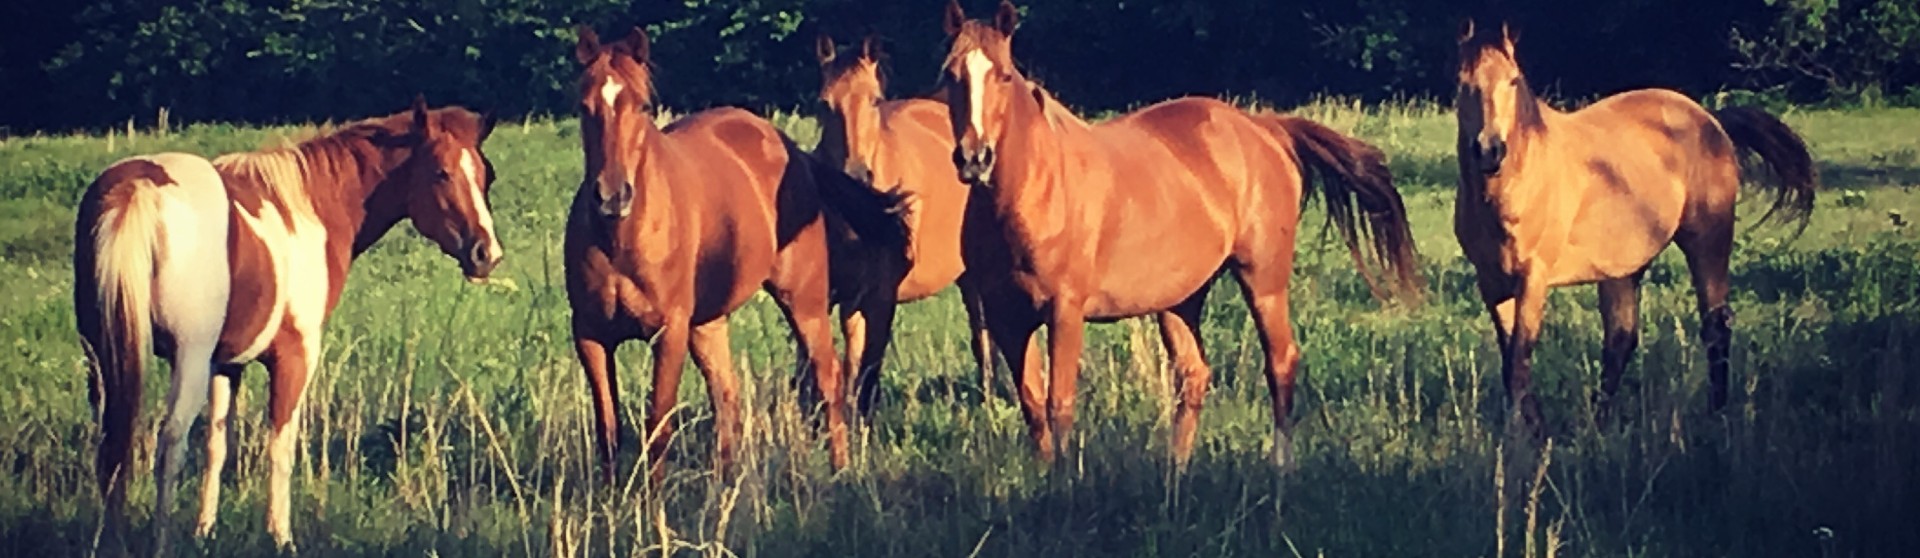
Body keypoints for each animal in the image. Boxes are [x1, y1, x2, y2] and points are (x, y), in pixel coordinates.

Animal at [78, 97, 506, 556]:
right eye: (441, 172)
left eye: (485, 174)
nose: (486, 254)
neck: (309, 207)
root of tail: (139, 188)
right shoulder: (294, 356)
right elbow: (280, 446)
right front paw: (281, 537)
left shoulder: (225, 365)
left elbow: (216, 445)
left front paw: (204, 531)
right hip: (187, 359)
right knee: (170, 441)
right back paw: (161, 542)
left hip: (105, 357)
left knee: (112, 445)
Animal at [564, 24, 910, 483]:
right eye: (584, 107)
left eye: (642, 105)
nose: (612, 195)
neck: (621, 240)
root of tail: (791, 150)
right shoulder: (591, 336)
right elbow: (608, 429)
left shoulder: (669, 332)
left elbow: (657, 426)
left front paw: (653, 500)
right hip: (707, 323)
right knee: (726, 395)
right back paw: (725, 483)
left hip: (804, 301)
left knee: (829, 378)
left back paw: (840, 470)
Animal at [810, 31, 1021, 416]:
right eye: (824, 104)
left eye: (875, 100)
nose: (856, 175)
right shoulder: (841, 296)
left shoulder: (882, 296)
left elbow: (869, 368)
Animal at [936, 2, 1420, 469]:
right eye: (950, 73)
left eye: (1002, 74)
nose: (974, 158)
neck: (1035, 192)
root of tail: (1264, 128)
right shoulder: (1006, 317)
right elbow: (1033, 406)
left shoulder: (1064, 311)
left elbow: (1060, 405)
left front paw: (1067, 482)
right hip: (1179, 299)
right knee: (1194, 375)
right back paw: (1176, 472)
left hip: (1263, 279)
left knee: (1281, 362)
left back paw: (1279, 470)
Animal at [1451, 20, 1812, 433]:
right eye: (1463, 83)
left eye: (1513, 81)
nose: (1489, 149)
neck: (1518, 186)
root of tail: (1710, 119)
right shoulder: (1492, 283)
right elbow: (1511, 365)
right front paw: (1532, 431)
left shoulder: (1533, 279)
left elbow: (1519, 364)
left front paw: (1527, 440)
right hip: (1623, 268)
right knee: (1620, 340)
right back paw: (1599, 425)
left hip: (1708, 240)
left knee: (1715, 326)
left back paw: (1715, 415)